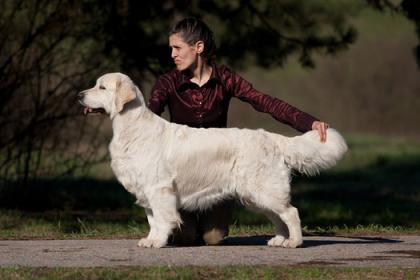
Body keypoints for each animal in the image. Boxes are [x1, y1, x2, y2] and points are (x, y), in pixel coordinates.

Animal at [79, 73, 348, 248]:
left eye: (101, 87)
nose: (79, 95)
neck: (131, 127)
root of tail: (271, 137)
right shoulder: (146, 189)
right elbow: (152, 219)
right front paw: (151, 239)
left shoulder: (159, 189)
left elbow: (162, 218)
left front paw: (157, 242)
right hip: (254, 195)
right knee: (278, 216)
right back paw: (279, 240)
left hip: (263, 189)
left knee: (291, 212)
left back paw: (295, 242)